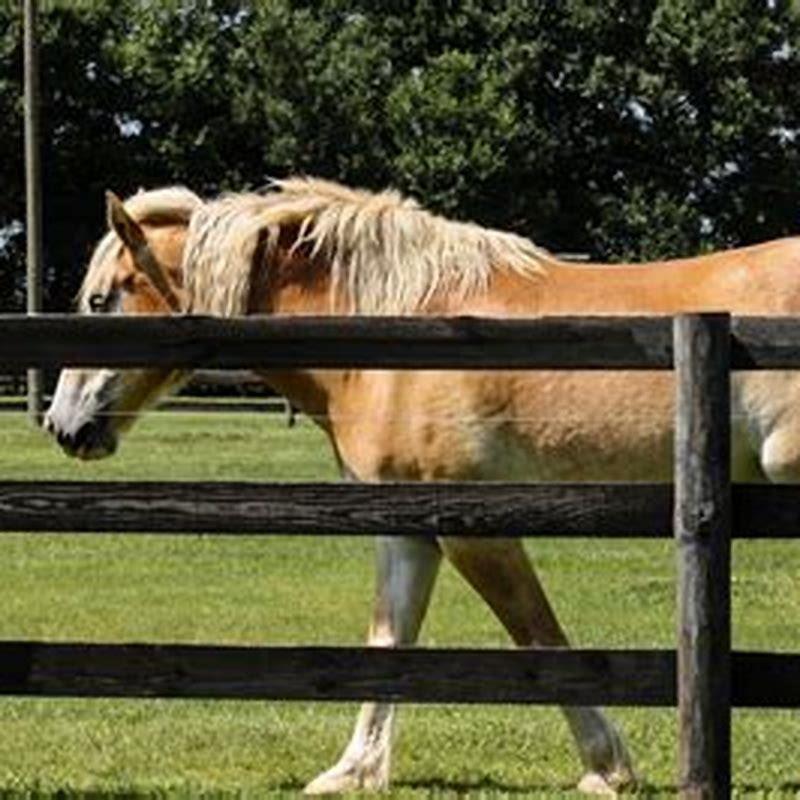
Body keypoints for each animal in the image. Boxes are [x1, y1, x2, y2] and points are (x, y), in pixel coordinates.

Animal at [44, 177, 800, 795]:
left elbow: (540, 638)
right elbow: (390, 641)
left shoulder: (475, 530)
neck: (398, 340)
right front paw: (354, 771)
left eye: (101, 298)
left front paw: (606, 767)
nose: (61, 424)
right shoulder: (407, 529)